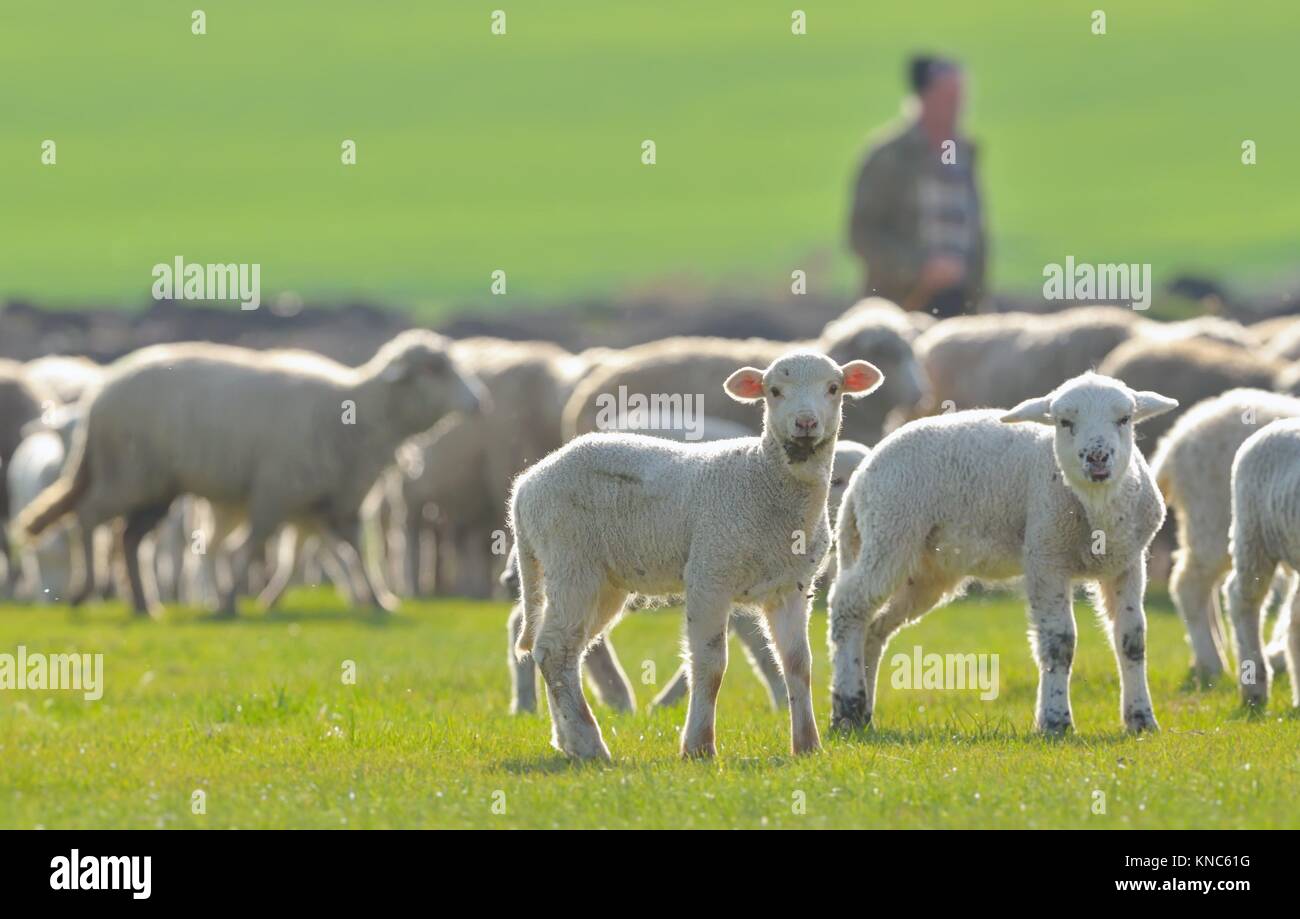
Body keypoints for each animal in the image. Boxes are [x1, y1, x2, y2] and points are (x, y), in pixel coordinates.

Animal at [13, 330, 483, 618]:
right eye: (433, 369)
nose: (479, 401)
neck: (358, 414)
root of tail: (98, 394)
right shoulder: (275, 491)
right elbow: (253, 543)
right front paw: (228, 601)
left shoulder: (337, 502)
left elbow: (354, 552)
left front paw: (381, 601)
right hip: (129, 473)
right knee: (90, 517)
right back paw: (85, 592)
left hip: (156, 485)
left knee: (129, 537)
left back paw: (145, 604)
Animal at [510, 351, 883, 760]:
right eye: (774, 391)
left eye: (833, 388)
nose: (805, 423)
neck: (762, 478)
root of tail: (527, 484)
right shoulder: (710, 573)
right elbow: (710, 665)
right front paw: (699, 746)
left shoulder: (791, 587)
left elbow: (798, 664)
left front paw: (807, 746)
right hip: (571, 560)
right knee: (555, 650)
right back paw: (590, 745)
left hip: (603, 581)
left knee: (562, 650)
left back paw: (569, 742)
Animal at [828, 372, 1177, 735]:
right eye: (1064, 422)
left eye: (1125, 419)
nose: (1097, 457)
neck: (1098, 508)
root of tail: (862, 474)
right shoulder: (1045, 557)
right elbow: (1058, 643)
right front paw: (1055, 721)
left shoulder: (1127, 564)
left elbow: (1132, 640)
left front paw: (1142, 720)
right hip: (889, 531)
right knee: (848, 606)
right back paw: (846, 708)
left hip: (925, 570)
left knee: (874, 626)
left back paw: (863, 712)